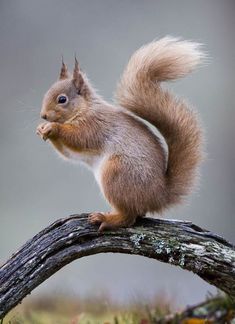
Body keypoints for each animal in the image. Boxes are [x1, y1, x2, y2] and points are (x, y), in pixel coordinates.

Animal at [36, 36, 204, 232]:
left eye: (62, 99)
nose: (43, 115)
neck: (85, 109)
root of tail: (158, 195)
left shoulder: (95, 126)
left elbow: (79, 138)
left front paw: (53, 128)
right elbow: (68, 153)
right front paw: (42, 128)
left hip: (117, 173)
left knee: (129, 216)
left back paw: (107, 219)